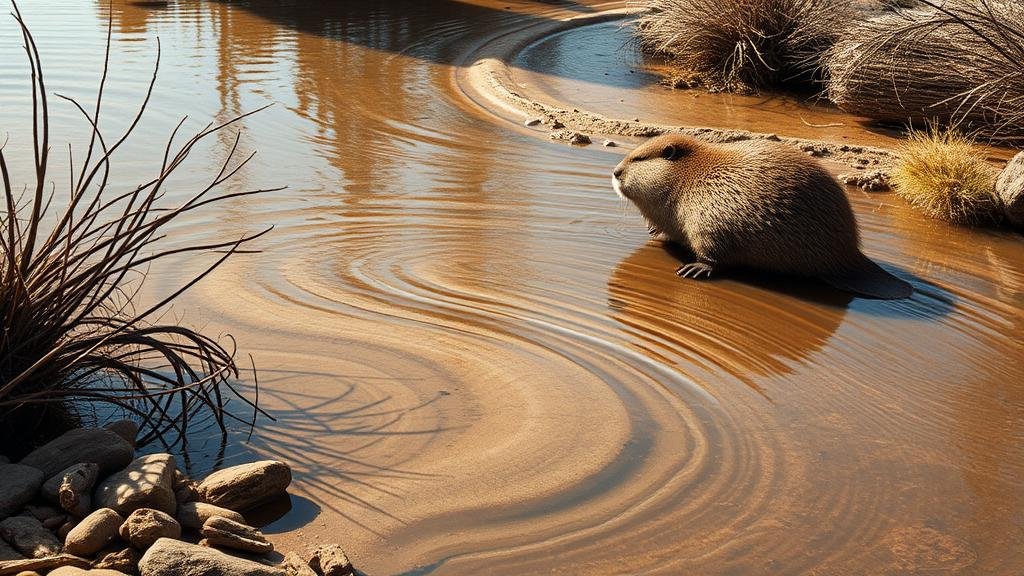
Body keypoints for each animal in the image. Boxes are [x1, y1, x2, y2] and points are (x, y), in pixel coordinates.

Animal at [610, 132, 917, 297]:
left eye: (638, 158)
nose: (615, 171)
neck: (692, 178)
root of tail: (851, 258)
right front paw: (655, 231)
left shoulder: (709, 215)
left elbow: (715, 252)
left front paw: (694, 268)